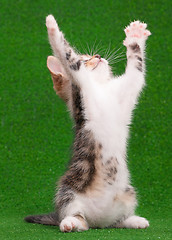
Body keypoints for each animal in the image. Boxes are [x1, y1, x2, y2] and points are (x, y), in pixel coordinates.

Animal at [24, 14, 150, 232]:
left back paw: (134, 220)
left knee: (115, 222)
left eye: (92, 56)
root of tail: (98, 221)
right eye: (85, 59)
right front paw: (52, 26)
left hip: (128, 193)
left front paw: (135, 37)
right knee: (80, 220)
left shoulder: (129, 87)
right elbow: (66, 53)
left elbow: (137, 67)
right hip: (68, 192)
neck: (101, 88)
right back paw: (70, 222)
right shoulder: (79, 85)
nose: (98, 56)